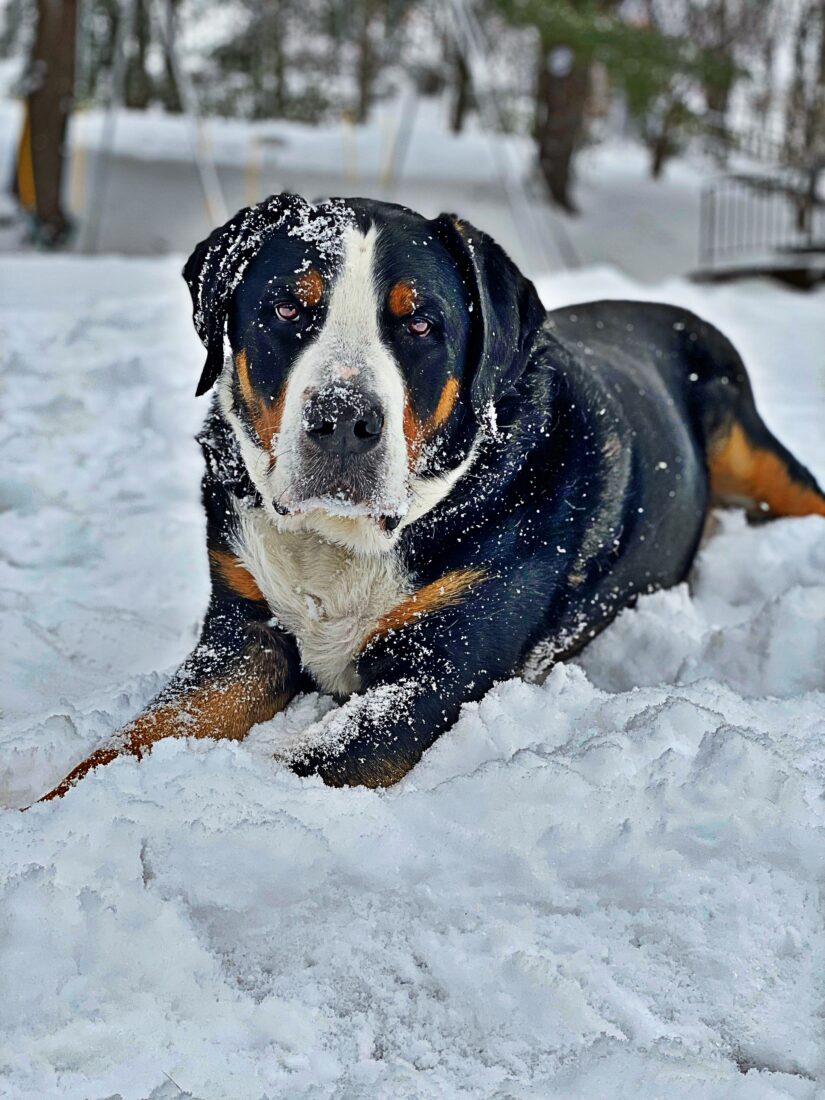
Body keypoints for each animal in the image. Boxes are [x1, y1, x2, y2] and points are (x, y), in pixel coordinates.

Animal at [37, 195, 825, 800]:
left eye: (419, 323)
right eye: (288, 309)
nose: (343, 420)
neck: (341, 539)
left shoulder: (436, 668)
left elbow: (304, 760)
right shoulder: (243, 636)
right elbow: (134, 737)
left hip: (756, 454)